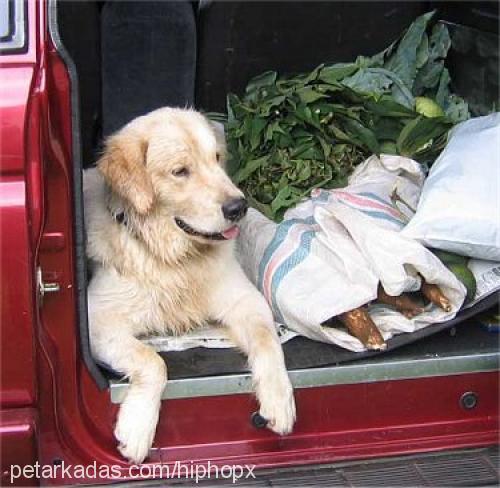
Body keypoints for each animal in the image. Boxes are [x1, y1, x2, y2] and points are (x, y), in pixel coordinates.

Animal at [84, 107, 296, 466]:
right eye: (180, 171)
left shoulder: (246, 300)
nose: (238, 207)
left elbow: (268, 340)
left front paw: (279, 398)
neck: (176, 259)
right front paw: (138, 427)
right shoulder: (97, 319)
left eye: (217, 158)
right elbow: (154, 361)